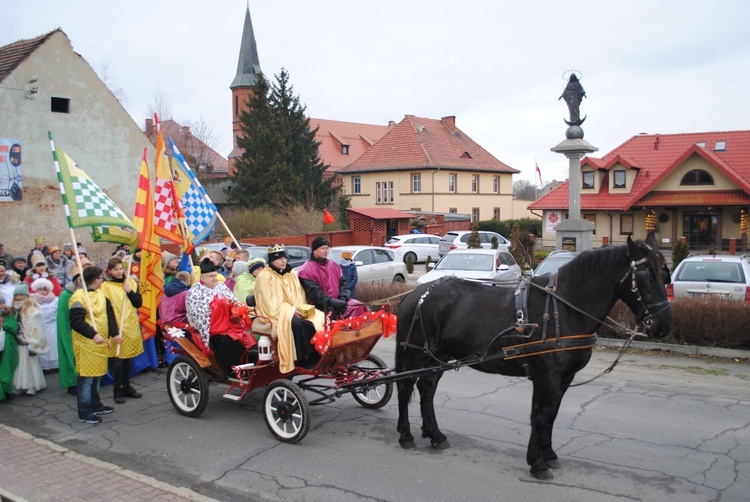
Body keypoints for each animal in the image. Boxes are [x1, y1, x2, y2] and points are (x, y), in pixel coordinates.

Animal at [396, 233, 672, 480]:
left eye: (665, 273)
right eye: (646, 276)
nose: (663, 326)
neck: (564, 309)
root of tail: (415, 293)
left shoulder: (564, 379)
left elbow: (551, 415)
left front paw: (548, 454)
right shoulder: (545, 377)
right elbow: (539, 416)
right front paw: (537, 463)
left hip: (437, 356)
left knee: (427, 389)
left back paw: (435, 434)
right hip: (415, 354)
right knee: (404, 388)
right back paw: (406, 435)